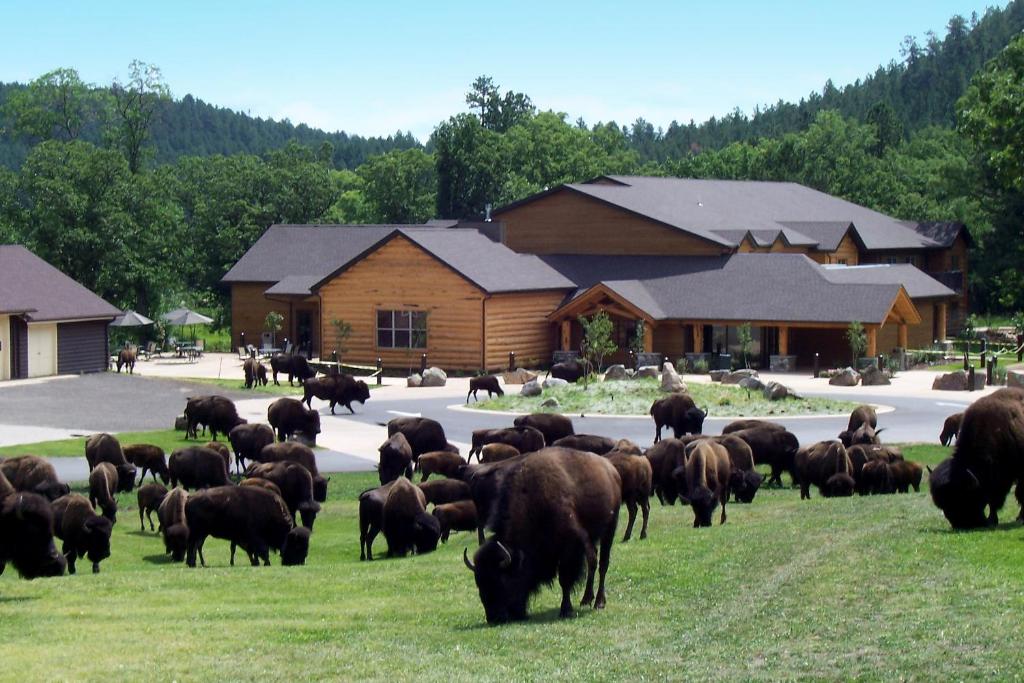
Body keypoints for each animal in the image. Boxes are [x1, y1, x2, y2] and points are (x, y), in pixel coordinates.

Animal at [462, 448, 618, 626]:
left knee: (602, 564)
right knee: (593, 561)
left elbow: (565, 579)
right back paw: (586, 599)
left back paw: (599, 602)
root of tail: (611, 469)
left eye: (502, 581)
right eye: (479, 583)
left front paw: (565, 610)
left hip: (609, 530)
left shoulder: (569, 549)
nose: (494, 618)